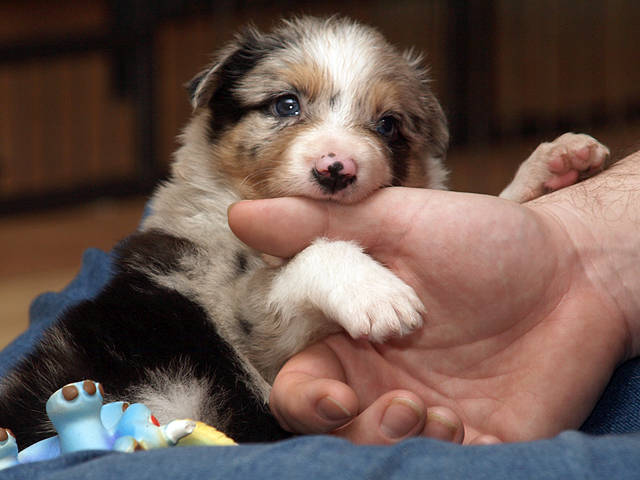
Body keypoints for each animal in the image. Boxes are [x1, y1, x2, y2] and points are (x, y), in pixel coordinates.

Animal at [0, 16, 609, 448]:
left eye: (388, 124)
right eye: (286, 104)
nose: (336, 168)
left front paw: (552, 166)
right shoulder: (249, 328)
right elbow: (310, 259)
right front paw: (378, 295)